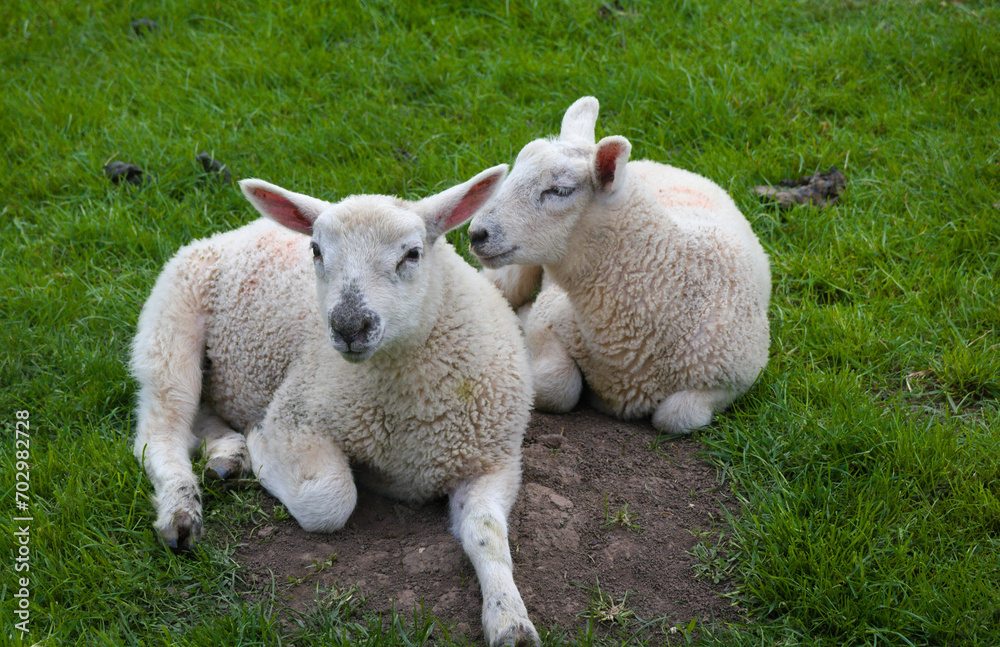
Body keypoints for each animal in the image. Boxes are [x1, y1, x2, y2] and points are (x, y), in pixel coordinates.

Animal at [130, 165, 541, 647]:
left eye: (412, 254)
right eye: (316, 250)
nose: (349, 326)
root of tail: (232, 231)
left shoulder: (494, 460)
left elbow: (486, 533)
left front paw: (510, 619)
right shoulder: (296, 414)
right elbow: (329, 500)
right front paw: (261, 451)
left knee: (199, 415)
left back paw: (226, 455)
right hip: (170, 325)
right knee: (161, 431)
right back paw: (182, 508)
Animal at [467, 96, 771, 434]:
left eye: (560, 190)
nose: (476, 233)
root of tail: (662, 164)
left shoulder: (737, 377)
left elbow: (675, 417)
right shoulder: (548, 319)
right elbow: (557, 388)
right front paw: (521, 324)